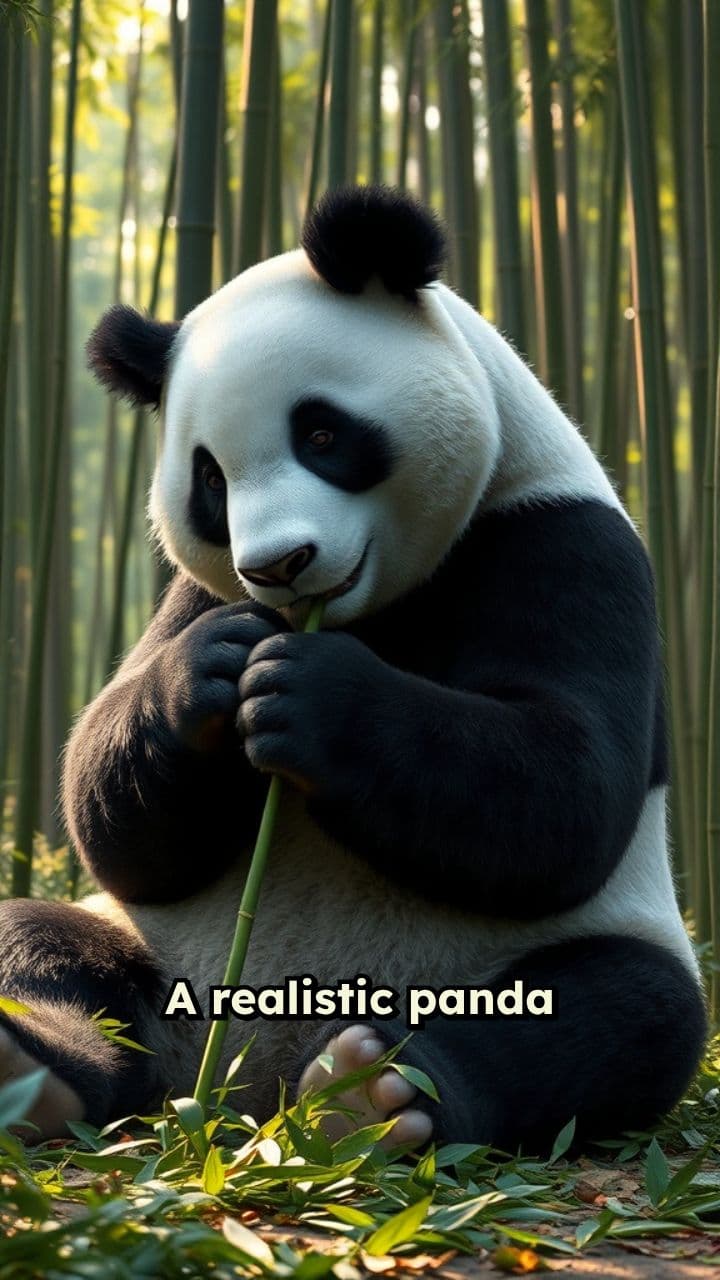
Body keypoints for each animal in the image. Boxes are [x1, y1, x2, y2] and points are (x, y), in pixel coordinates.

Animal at [0, 185, 707, 1153]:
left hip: (548, 956)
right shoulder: (194, 589)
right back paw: (36, 1073)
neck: (370, 607)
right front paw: (208, 673)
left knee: (620, 1013)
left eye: (323, 433)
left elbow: (567, 790)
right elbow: (114, 823)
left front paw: (311, 695)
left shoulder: (559, 536)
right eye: (210, 482)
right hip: (152, 955)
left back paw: (370, 1093)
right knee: (41, 943)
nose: (280, 565)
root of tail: (240, 1087)